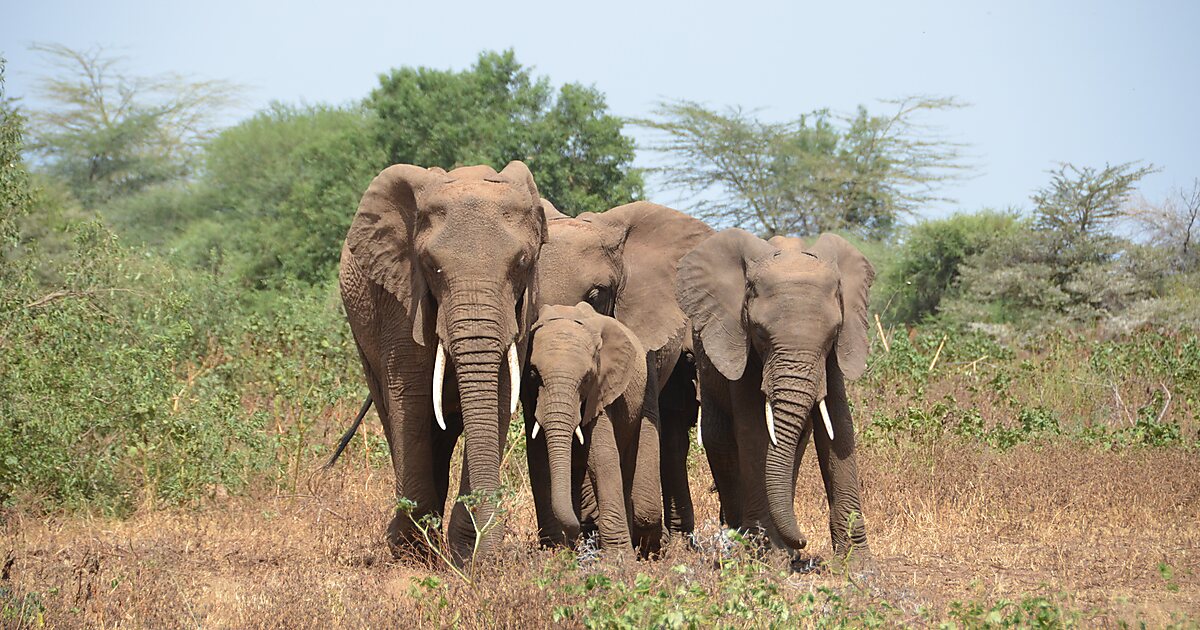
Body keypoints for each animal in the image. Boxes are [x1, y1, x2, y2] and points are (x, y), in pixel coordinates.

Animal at [338, 162, 544, 564]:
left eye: (522, 263)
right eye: (431, 266)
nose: (487, 555)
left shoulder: (521, 307)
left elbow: (499, 396)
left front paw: (469, 554)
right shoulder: (400, 298)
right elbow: (411, 398)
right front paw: (411, 551)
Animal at [523, 302, 662, 552]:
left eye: (587, 378)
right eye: (532, 374)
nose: (579, 532)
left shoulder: (601, 392)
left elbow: (601, 457)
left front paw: (619, 558)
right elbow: (539, 457)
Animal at [681, 225, 878, 564]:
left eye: (832, 334)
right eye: (760, 333)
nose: (803, 538)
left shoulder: (834, 357)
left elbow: (839, 426)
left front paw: (859, 565)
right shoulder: (741, 344)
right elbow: (754, 430)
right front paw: (768, 556)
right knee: (720, 438)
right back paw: (741, 541)